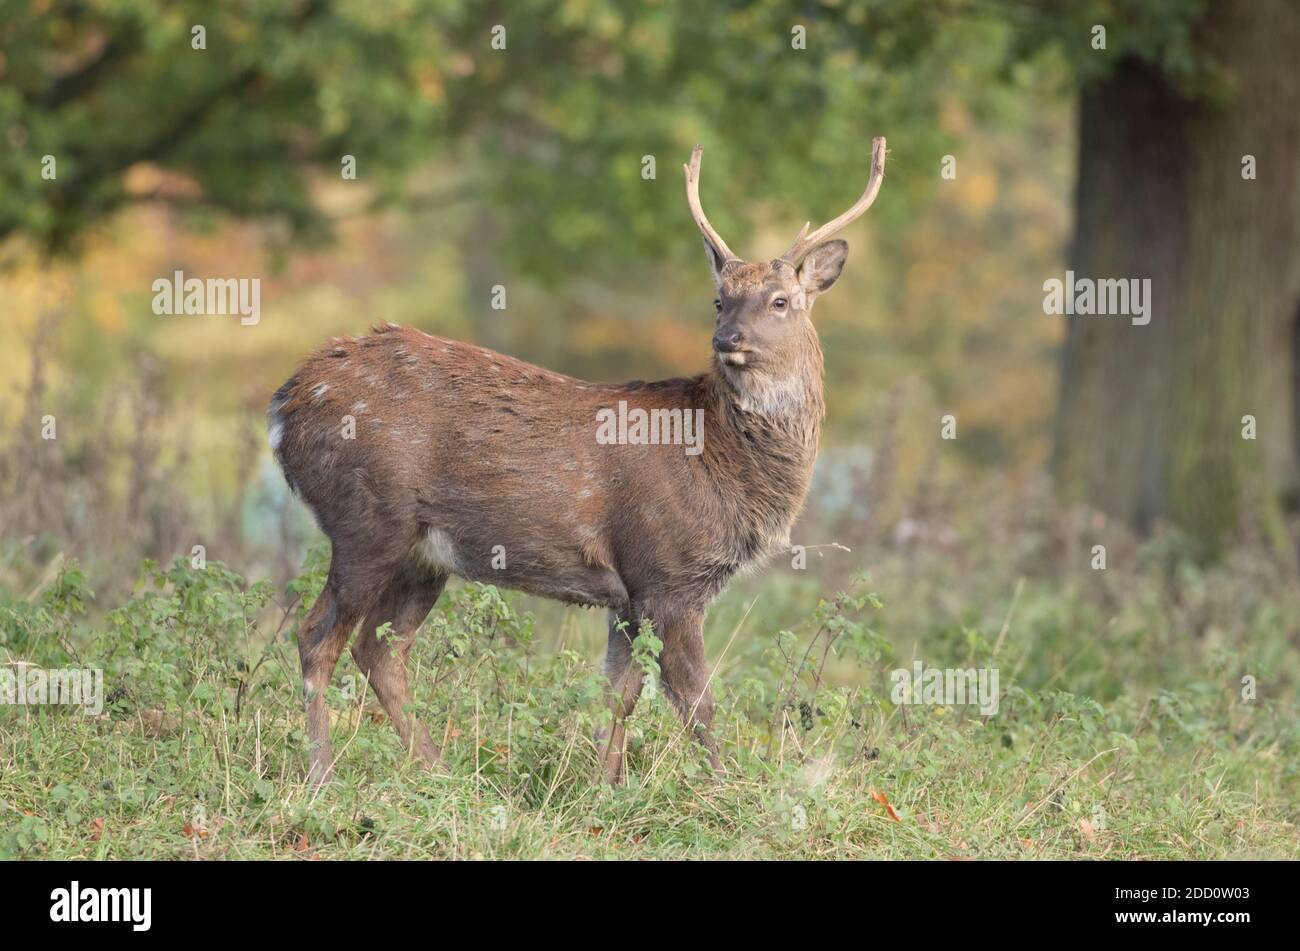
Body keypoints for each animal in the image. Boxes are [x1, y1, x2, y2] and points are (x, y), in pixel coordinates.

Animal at [269, 137, 887, 786]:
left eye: (781, 301)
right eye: (719, 299)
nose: (728, 339)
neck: (720, 460)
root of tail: (288, 402)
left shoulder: (630, 595)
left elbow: (619, 694)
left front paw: (605, 786)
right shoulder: (666, 572)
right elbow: (697, 700)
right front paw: (728, 790)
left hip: (423, 555)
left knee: (380, 649)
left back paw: (441, 774)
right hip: (366, 521)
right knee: (316, 639)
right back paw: (322, 775)